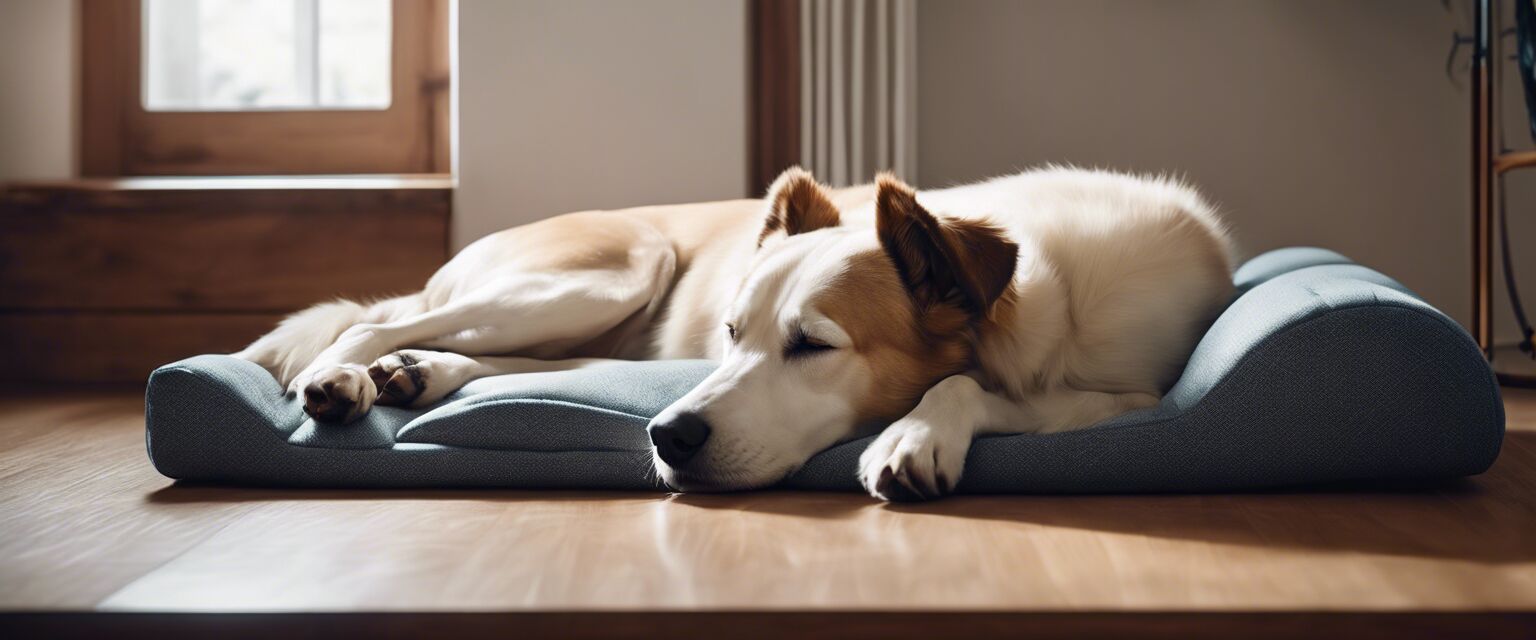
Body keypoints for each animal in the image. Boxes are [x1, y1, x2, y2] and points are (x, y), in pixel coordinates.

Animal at [233, 167, 1228, 500]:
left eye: (814, 346)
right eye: (734, 331)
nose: (666, 436)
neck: (1040, 292)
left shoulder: (1132, 395)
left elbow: (964, 383)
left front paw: (915, 435)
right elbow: (967, 378)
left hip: (602, 321)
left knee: (484, 353)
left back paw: (417, 374)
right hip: (605, 274)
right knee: (379, 317)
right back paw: (345, 378)